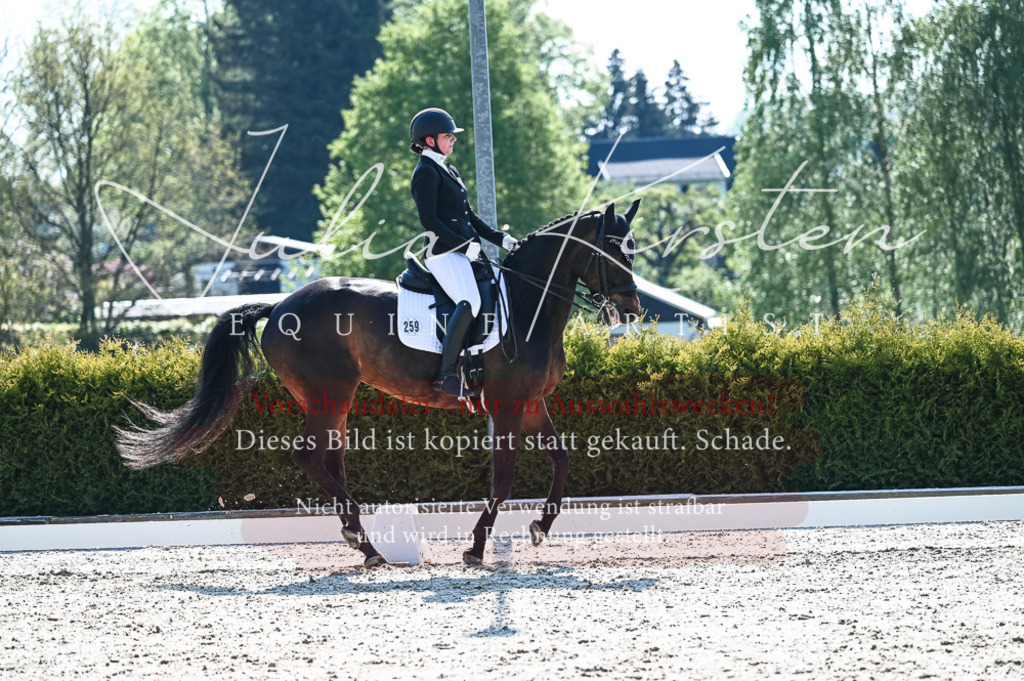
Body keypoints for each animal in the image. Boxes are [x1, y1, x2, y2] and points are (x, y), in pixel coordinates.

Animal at [117, 200, 642, 567]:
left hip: (333, 400)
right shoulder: (508, 408)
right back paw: (365, 543)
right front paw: (475, 547)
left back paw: (361, 541)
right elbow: (504, 478)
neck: (529, 304)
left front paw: (540, 527)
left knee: (330, 459)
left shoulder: (531, 405)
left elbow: (562, 459)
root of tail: (280, 305)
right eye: (612, 253)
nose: (632, 309)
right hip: (329, 395)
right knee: (309, 457)